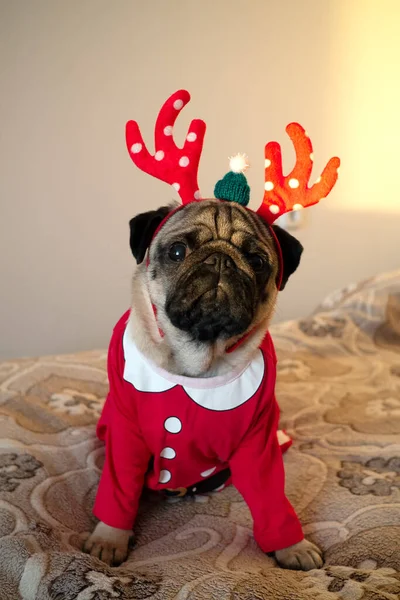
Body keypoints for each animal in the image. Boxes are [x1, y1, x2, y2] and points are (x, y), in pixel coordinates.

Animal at [83, 198, 324, 572]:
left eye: (257, 262)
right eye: (177, 252)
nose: (221, 259)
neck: (199, 360)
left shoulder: (259, 444)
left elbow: (270, 495)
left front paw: (292, 545)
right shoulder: (126, 436)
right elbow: (119, 485)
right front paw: (110, 538)